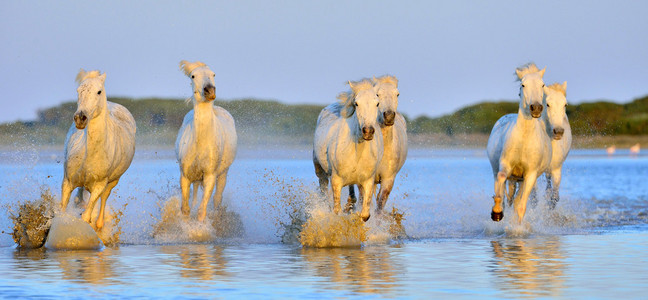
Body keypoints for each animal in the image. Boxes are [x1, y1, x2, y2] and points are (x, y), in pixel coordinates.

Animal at [60, 69, 137, 230]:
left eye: (99, 91)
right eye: (78, 90)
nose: (80, 118)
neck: (91, 153)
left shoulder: (99, 185)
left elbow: (87, 215)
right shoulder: (67, 181)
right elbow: (61, 211)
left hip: (113, 181)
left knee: (103, 199)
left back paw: (99, 223)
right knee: (80, 196)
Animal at [176, 59, 237, 221]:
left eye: (213, 74)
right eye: (193, 76)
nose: (210, 91)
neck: (200, 143)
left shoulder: (210, 176)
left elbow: (201, 210)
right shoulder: (185, 176)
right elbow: (186, 209)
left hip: (223, 173)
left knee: (217, 199)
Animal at [314, 79, 384, 220]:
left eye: (377, 103)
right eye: (356, 103)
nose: (368, 131)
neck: (357, 151)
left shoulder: (368, 181)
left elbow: (365, 214)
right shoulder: (336, 180)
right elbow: (336, 211)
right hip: (321, 171)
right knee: (324, 191)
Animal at [346, 75, 408, 211]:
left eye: (397, 94)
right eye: (377, 94)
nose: (389, 116)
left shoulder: (388, 179)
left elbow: (380, 204)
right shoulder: (364, 178)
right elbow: (364, 199)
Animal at [488, 63, 548, 223]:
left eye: (542, 84)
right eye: (523, 85)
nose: (536, 108)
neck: (524, 139)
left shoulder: (530, 174)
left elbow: (520, 207)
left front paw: (517, 227)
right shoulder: (505, 164)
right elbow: (501, 181)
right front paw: (496, 212)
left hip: (521, 180)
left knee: (516, 201)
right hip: (497, 171)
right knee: (500, 186)